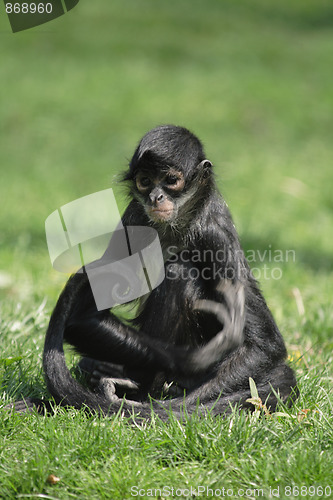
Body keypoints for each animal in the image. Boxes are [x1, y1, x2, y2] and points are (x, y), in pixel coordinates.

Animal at [14, 125, 296, 418]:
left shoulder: (215, 233)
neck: (175, 227)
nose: (155, 197)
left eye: (171, 180)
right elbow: (83, 317)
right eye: (145, 181)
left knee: (180, 272)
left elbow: (264, 346)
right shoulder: (134, 217)